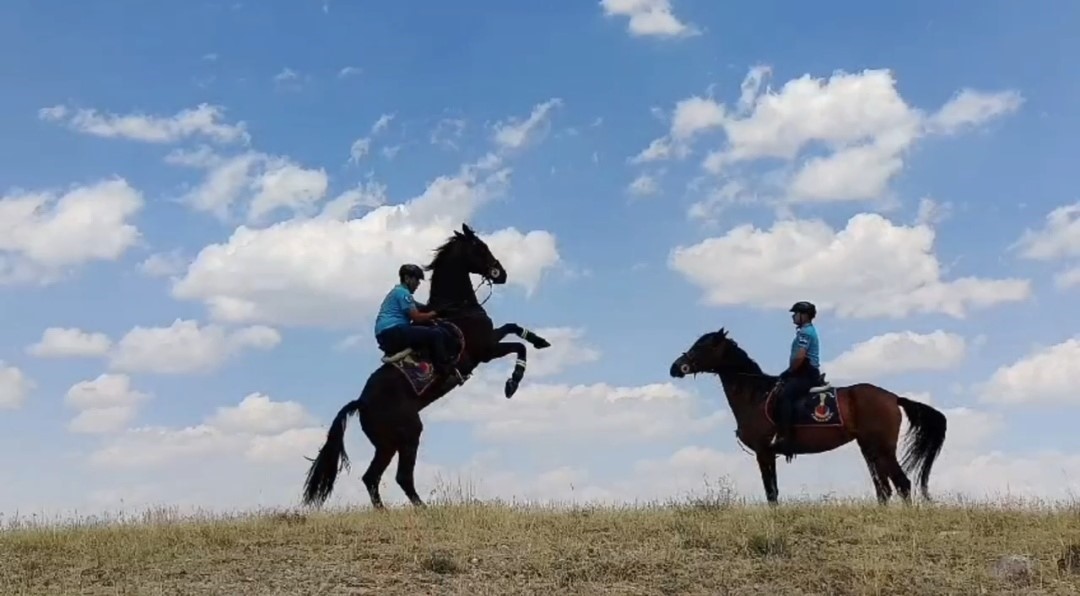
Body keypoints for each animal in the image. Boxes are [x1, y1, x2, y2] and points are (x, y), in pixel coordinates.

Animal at [304, 223, 557, 507]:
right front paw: (512, 383)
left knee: (371, 477)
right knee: (401, 476)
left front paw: (540, 340)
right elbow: (518, 346)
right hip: (408, 434)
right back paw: (422, 508)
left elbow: (514, 328)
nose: (500, 273)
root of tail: (361, 402)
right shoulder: (486, 350)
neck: (456, 308)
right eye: (480, 247)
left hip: (387, 444)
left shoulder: (491, 339)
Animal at [669, 328, 950, 505]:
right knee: (884, 489)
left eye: (702, 346)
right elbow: (773, 491)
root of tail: (893, 397)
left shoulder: (764, 452)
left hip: (883, 449)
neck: (756, 394)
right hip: (869, 449)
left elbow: (771, 492)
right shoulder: (767, 454)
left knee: (901, 484)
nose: (676, 367)